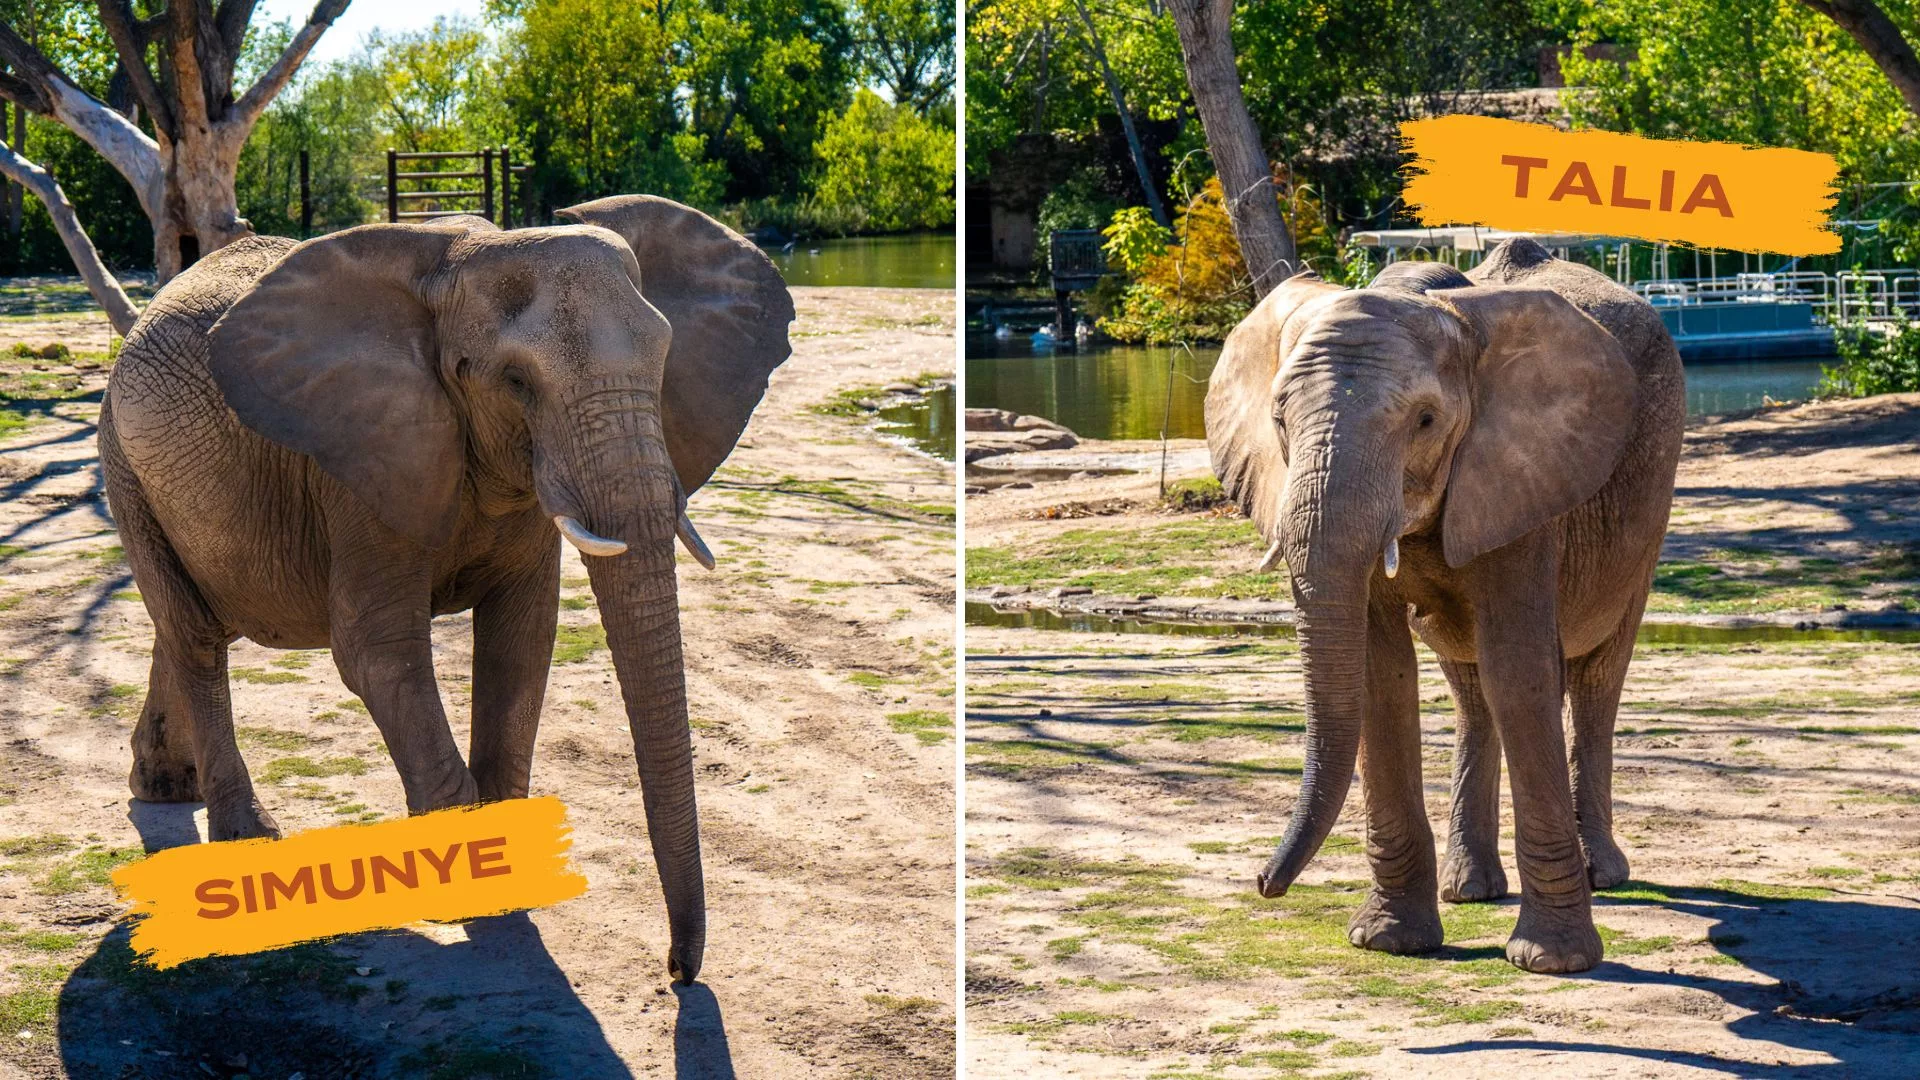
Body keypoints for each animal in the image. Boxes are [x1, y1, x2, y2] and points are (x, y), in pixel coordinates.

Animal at [95, 195, 787, 983]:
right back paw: (249, 840)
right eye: (514, 382)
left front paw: (505, 866)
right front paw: (474, 890)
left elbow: (523, 639)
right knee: (196, 637)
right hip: (123, 466)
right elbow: (377, 651)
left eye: (666, 360)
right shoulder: (359, 457)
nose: (677, 972)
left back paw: (164, 787)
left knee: (181, 627)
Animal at [1213, 239, 1681, 972]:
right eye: (1280, 422)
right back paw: (1471, 889)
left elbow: (1520, 670)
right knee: (1471, 686)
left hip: (1646, 518)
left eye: (1426, 421)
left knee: (1595, 675)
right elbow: (1381, 674)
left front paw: (1551, 961)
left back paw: (1602, 875)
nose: (1264, 883)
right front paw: (1387, 941)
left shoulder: (1526, 471)